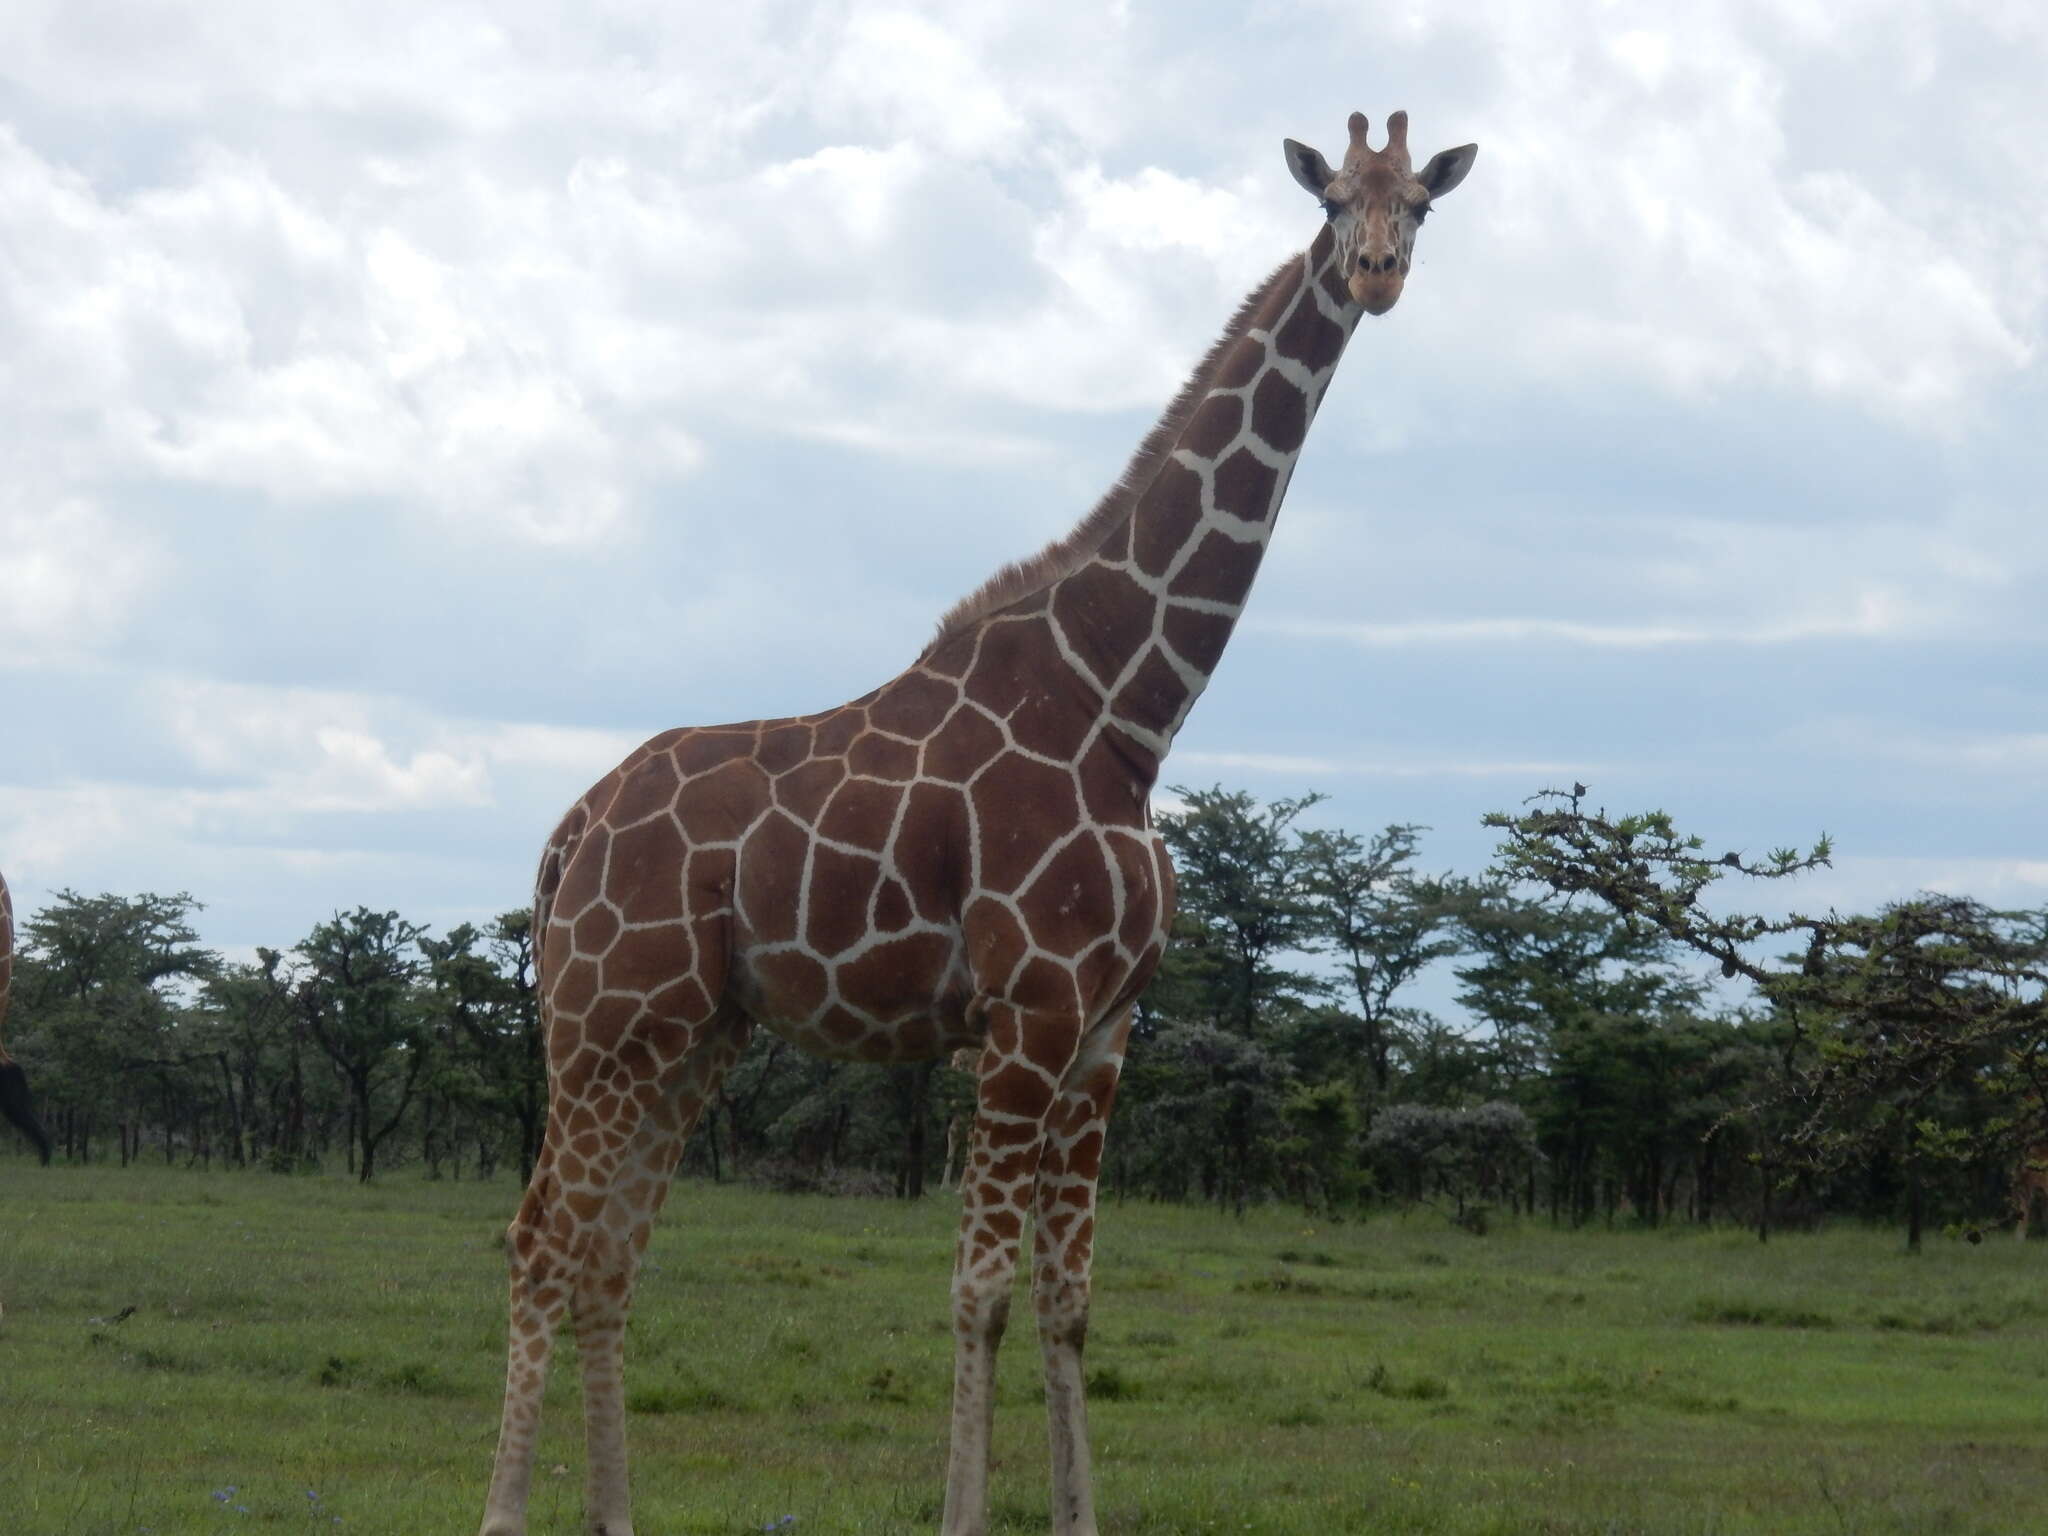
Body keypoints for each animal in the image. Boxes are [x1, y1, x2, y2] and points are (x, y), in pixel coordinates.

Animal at [475, 111, 1474, 1536]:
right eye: (1333, 199)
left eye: (1421, 206)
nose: (1378, 272)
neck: (1128, 710)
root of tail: (564, 836)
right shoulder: (1025, 1010)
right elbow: (982, 1292)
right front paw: (962, 1511)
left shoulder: (1108, 1027)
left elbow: (1069, 1300)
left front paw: (1077, 1513)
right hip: (599, 1023)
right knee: (541, 1241)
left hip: (689, 1034)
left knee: (611, 1255)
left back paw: (614, 1518)